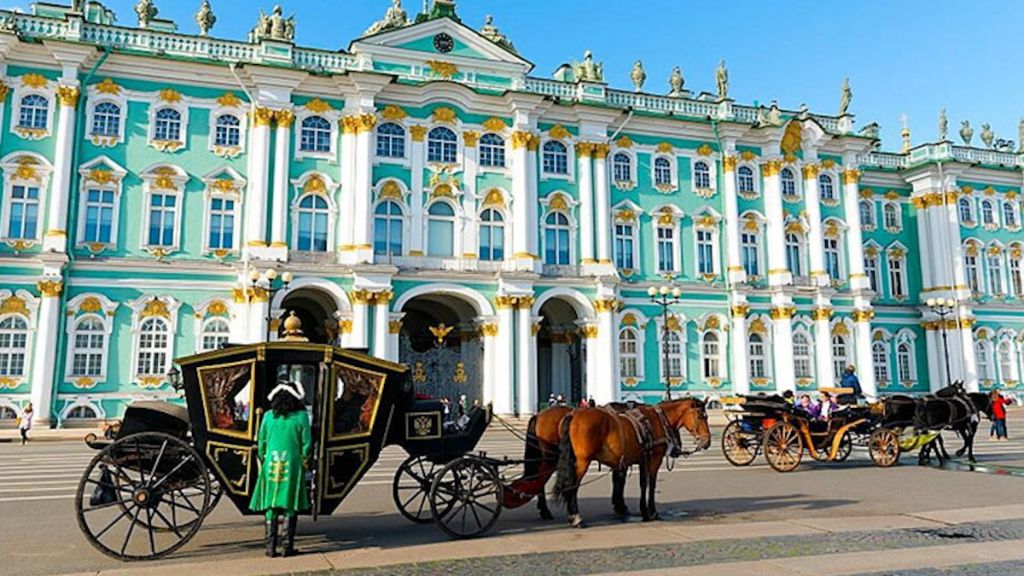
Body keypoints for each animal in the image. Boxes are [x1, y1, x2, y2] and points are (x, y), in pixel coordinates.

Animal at [557, 399, 708, 524]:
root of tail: (574, 413)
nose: (707, 442)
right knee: (573, 484)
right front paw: (652, 512)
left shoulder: (642, 460)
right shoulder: (654, 460)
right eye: (700, 416)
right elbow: (651, 484)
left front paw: (643, 511)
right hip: (583, 461)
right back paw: (576, 517)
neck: (658, 420)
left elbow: (642, 484)